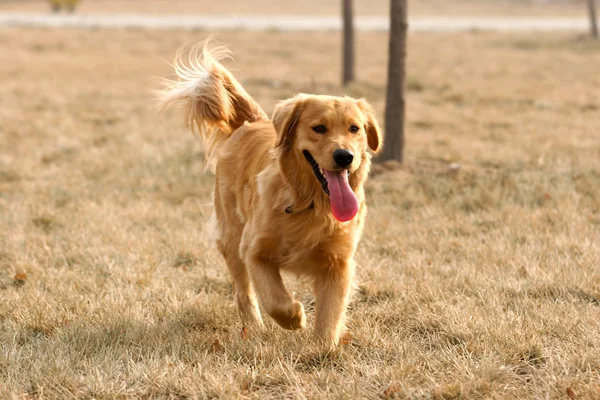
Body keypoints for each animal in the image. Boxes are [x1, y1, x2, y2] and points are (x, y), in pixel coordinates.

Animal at [161, 42, 380, 346]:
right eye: (319, 128)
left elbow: (330, 313)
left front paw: (323, 348)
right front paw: (295, 317)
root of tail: (253, 123)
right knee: (243, 291)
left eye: (354, 129)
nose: (344, 156)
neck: (311, 203)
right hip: (231, 236)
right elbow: (274, 298)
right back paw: (253, 327)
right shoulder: (253, 249)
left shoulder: (339, 262)